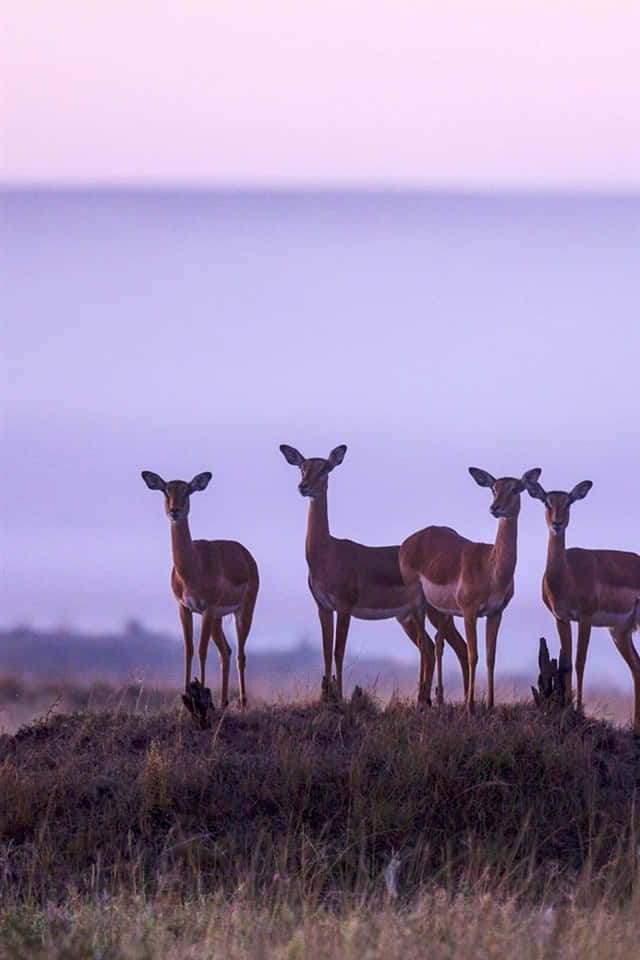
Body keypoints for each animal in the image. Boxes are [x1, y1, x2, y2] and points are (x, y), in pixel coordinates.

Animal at [141, 468, 258, 708]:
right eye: (166, 490)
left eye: (187, 491)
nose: (175, 511)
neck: (192, 567)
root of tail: (246, 554)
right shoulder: (184, 608)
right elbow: (189, 649)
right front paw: (188, 696)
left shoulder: (207, 608)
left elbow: (203, 651)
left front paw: (201, 694)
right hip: (218, 619)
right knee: (226, 651)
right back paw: (222, 703)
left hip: (242, 612)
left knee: (240, 654)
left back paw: (242, 703)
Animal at [280, 444, 470, 704]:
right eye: (302, 467)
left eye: (325, 468)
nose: (304, 486)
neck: (327, 553)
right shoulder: (323, 607)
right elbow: (326, 650)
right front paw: (327, 695)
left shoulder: (344, 606)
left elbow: (339, 650)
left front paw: (339, 697)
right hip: (408, 617)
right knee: (432, 648)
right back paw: (425, 700)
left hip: (435, 613)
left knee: (458, 648)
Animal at [524, 472, 640, 728]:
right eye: (546, 501)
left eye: (569, 502)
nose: (557, 523)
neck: (567, 574)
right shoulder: (562, 618)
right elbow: (566, 662)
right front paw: (566, 708)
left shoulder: (586, 618)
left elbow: (579, 661)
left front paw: (577, 710)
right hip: (620, 632)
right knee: (637, 667)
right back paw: (636, 725)